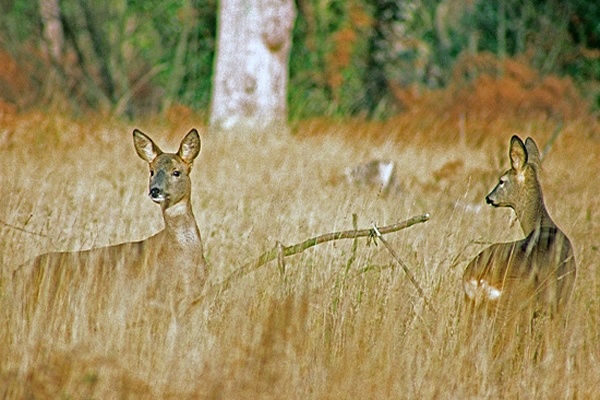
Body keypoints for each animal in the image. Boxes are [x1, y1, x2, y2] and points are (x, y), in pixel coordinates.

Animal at [12, 129, 207, 328]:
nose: (155, 190)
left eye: (176, 172)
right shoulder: (153, 304)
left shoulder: (194, 304)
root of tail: (15, 273)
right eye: (151, 171)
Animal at [464, 136, 576, 324]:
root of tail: (480, 277)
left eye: (501, 180)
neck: (544, 225)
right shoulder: (559, 302)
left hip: (471, 304)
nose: (488, 198)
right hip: (515, 304)